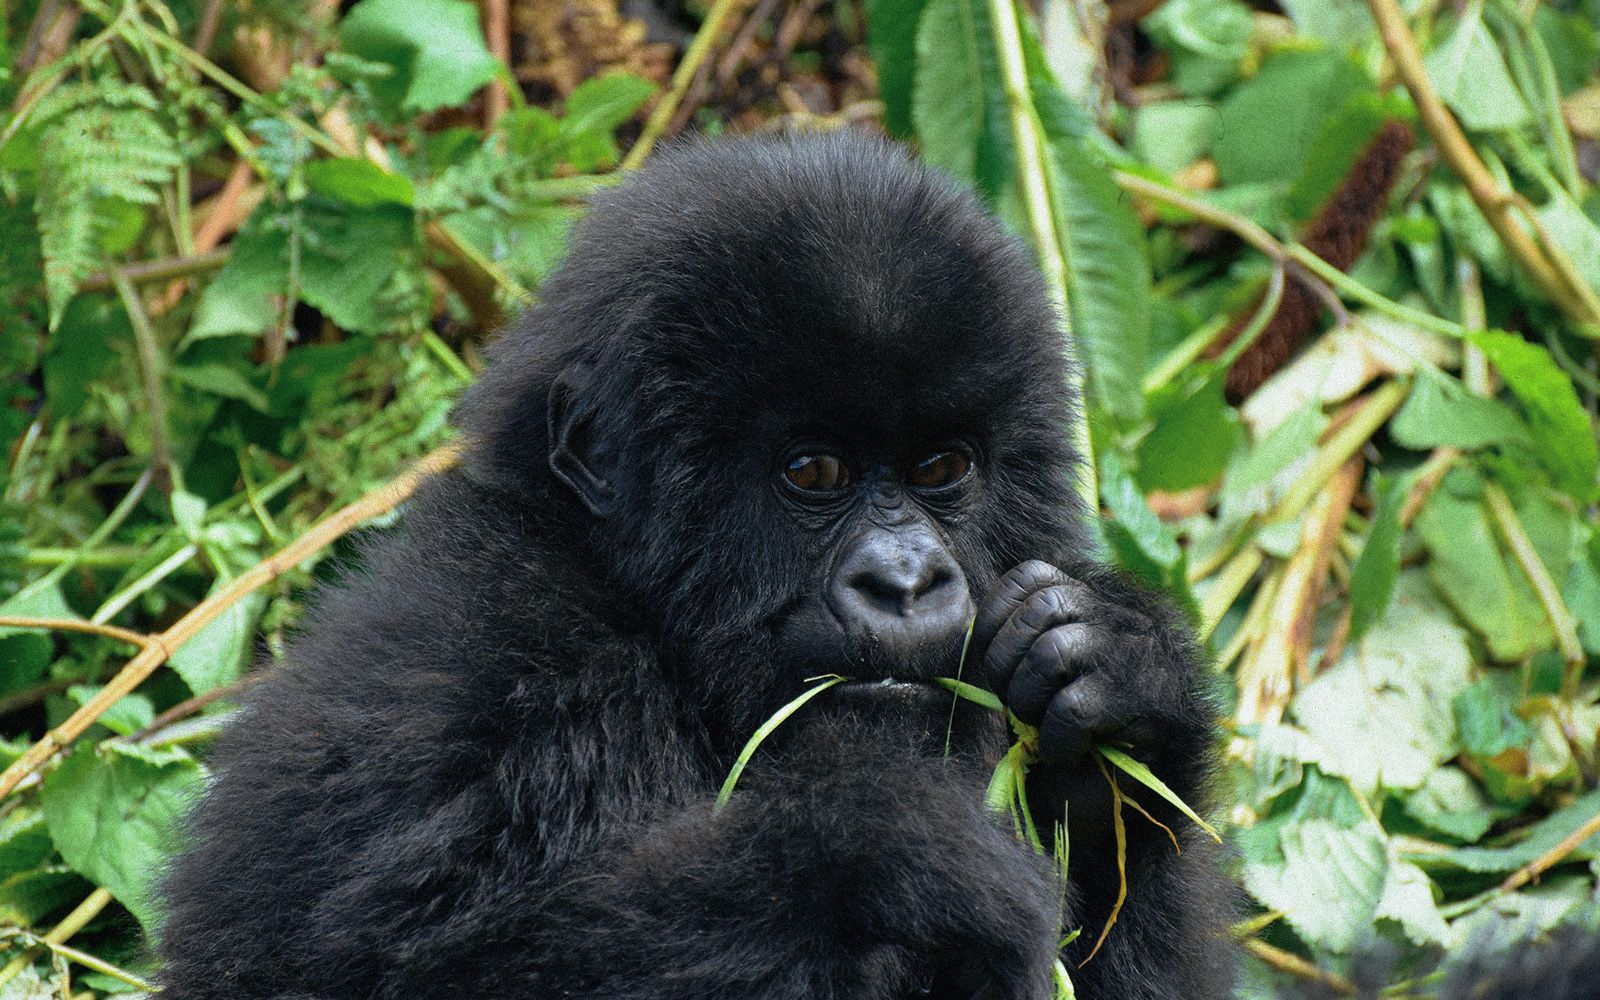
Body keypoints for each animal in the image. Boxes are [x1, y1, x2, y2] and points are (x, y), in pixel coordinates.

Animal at [162, 132, 1228, 998]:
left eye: (941, 468)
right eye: (812, 472)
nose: (907, 582)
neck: (645, 615)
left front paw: (1122, 682)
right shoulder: (496, 662)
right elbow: (413, 962)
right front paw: (894, 860)